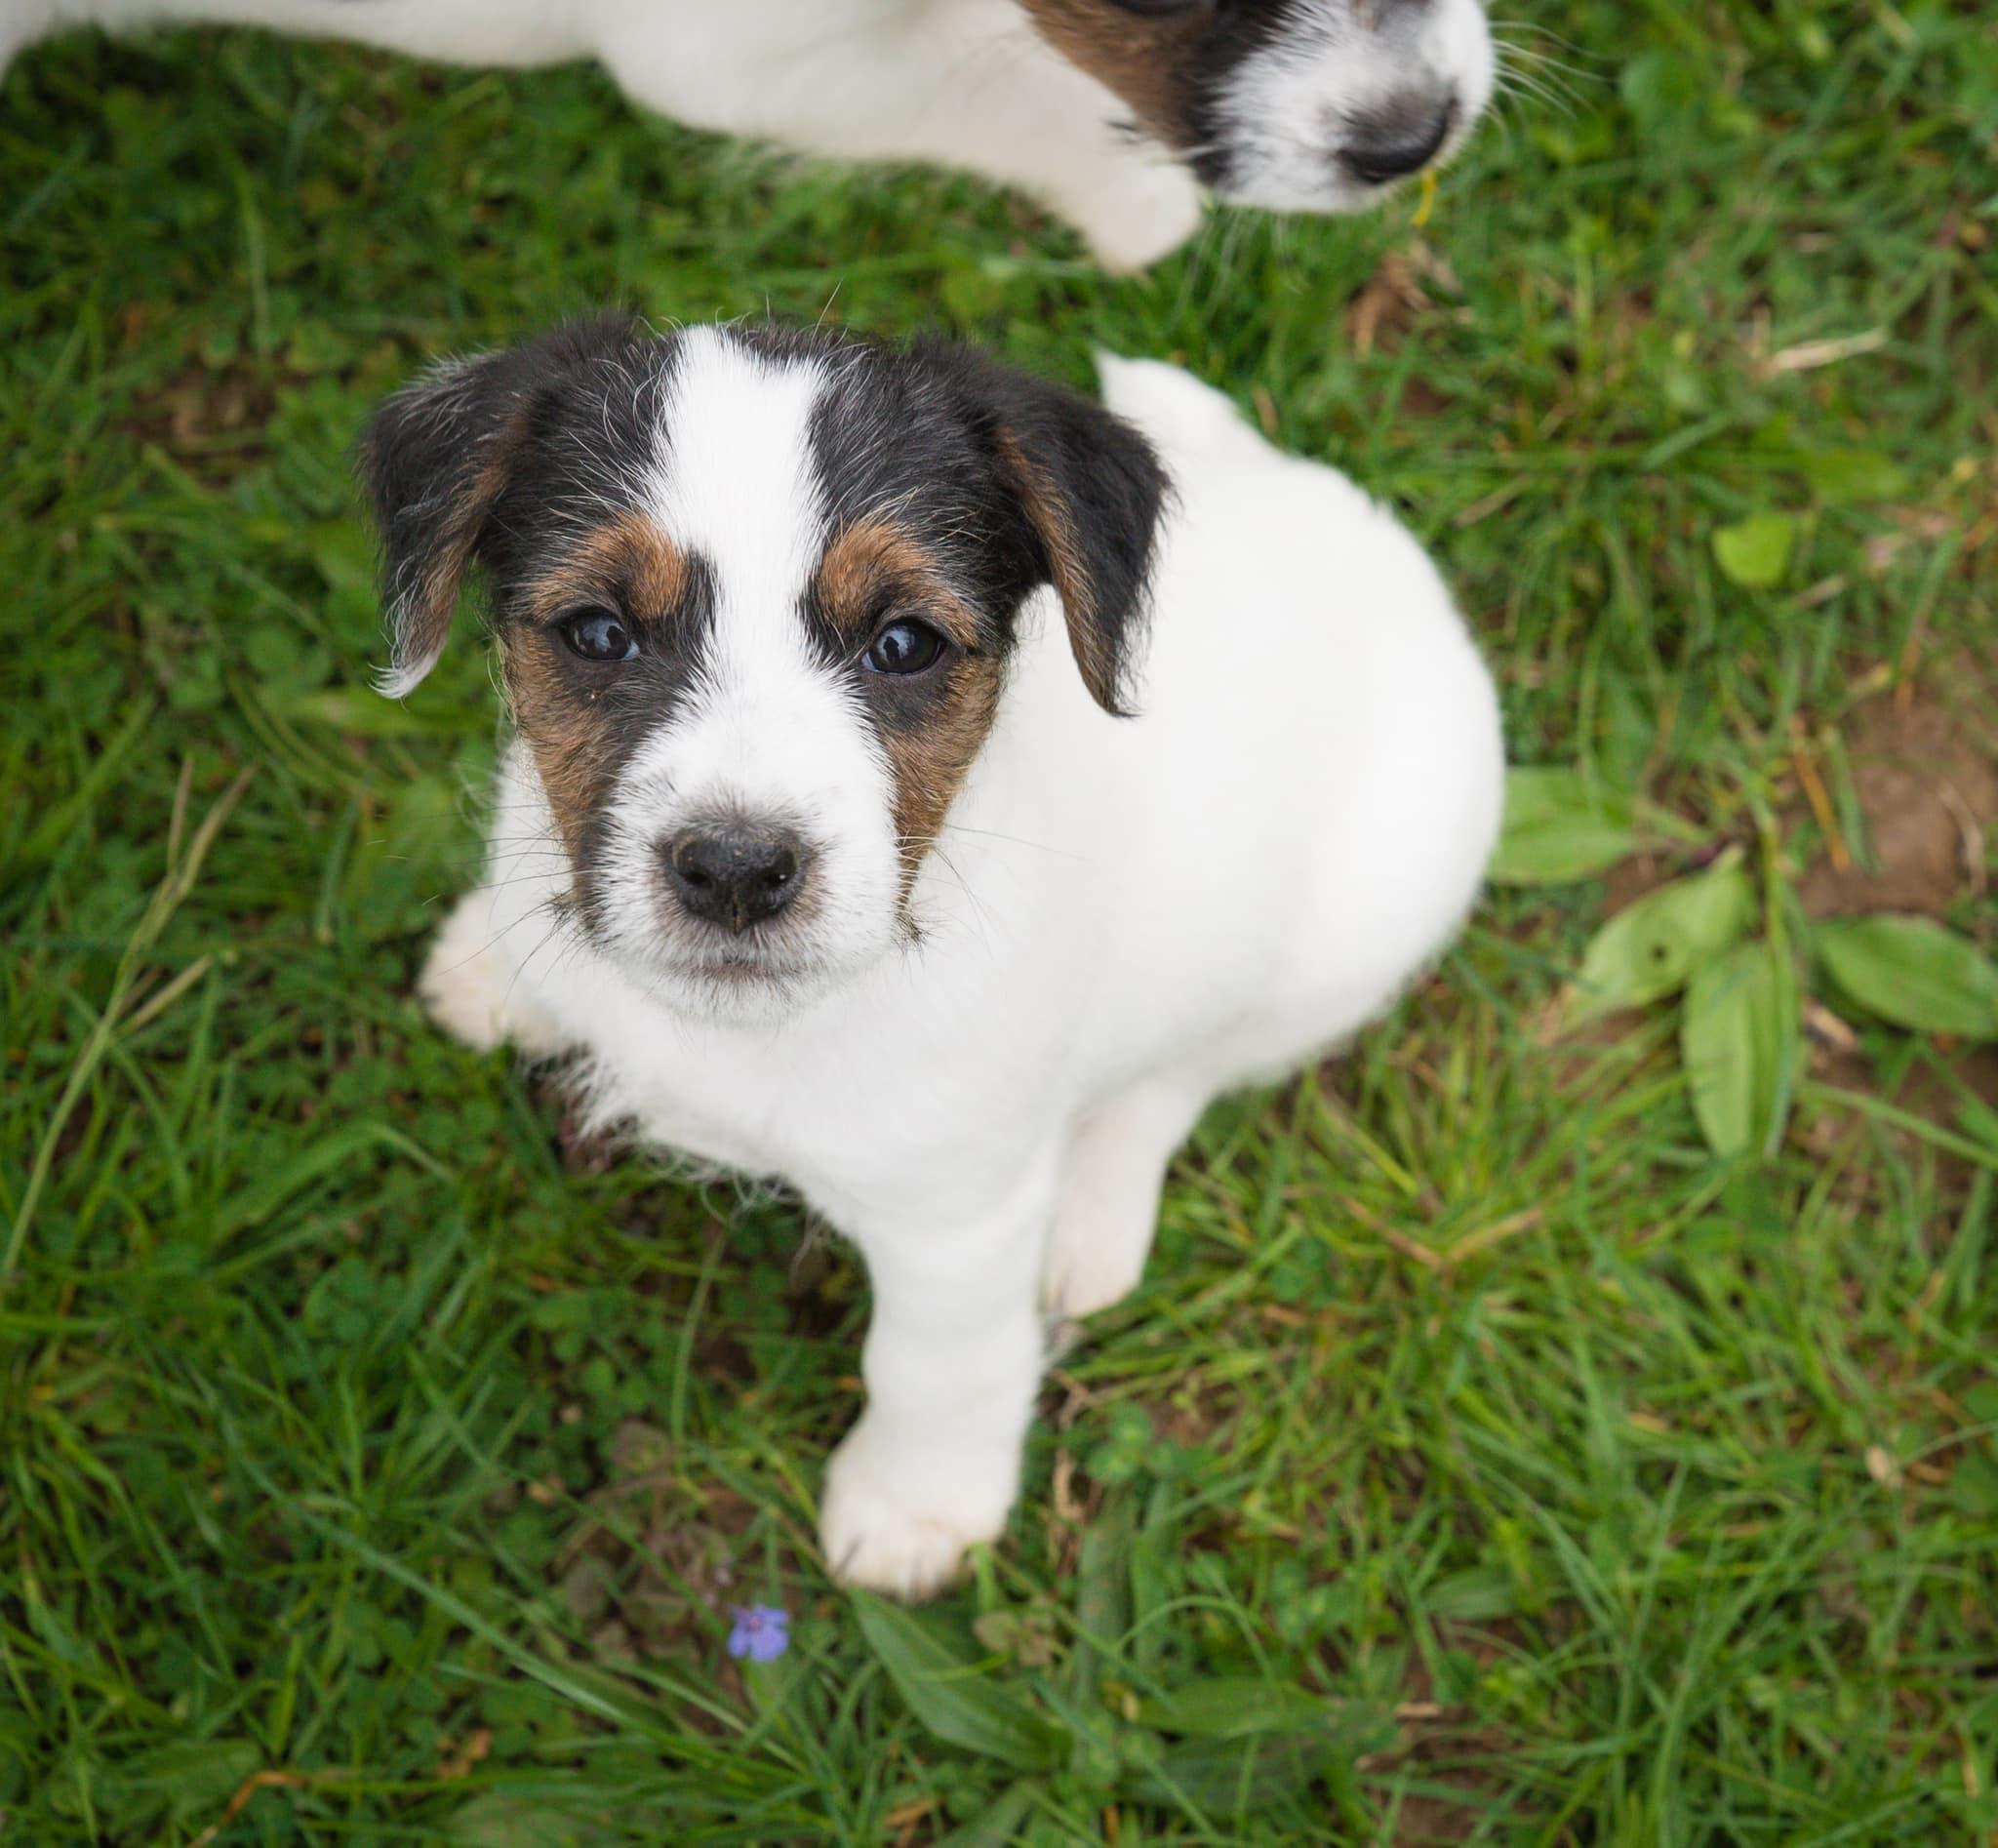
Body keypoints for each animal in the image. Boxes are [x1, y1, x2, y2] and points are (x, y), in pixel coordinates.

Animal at [359, 315, 1503, 1596]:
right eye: (598, 633)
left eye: (902, 642)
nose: (737, 869)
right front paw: (511, 966)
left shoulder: (955, 1224)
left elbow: (932, 1365)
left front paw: (917, 1504)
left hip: (1346, 944)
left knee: (1182, 1078)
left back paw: (1089, 1223)